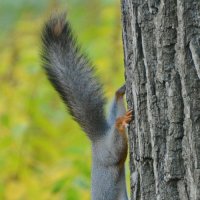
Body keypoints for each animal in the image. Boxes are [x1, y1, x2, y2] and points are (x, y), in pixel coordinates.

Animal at [41, 12, 133, 200]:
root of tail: (99, 141)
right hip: (112, 149)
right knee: (117, 108)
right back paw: (120, 94)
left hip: (111, 151)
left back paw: (120, 122)